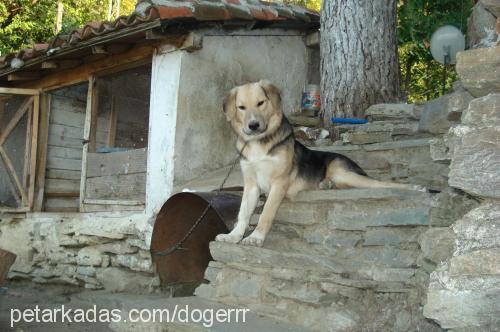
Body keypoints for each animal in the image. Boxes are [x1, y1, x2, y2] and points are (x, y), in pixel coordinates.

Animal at [217, 80, 424, 246]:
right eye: (241, 107)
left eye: (261, 103)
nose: (253, 126)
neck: (259, 142)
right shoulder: (251, 184)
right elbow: (243, 213)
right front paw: (234, 235)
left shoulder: (279, 182)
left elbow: (266, 213)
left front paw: (256, 237)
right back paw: (326, 185)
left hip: (341, 171)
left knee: (378, 184)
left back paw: (416, 188)